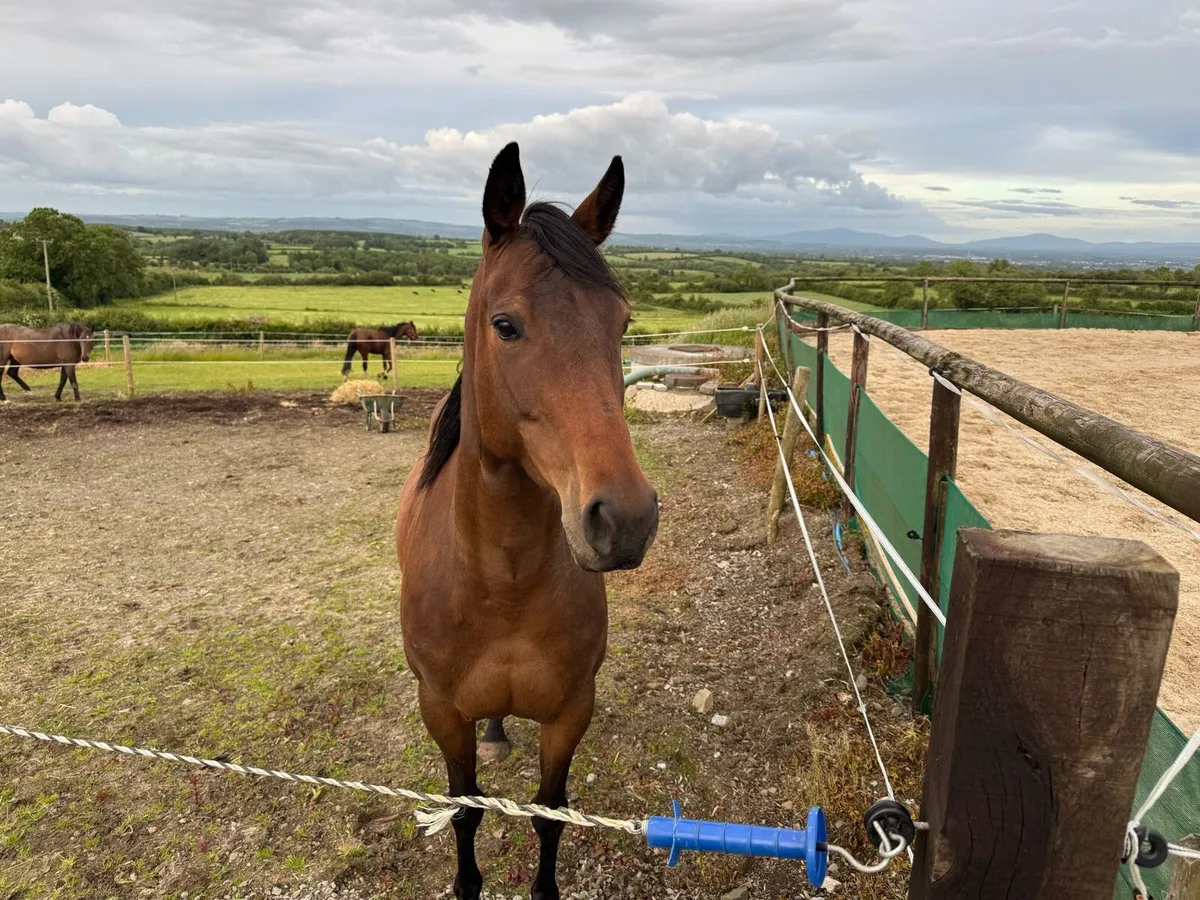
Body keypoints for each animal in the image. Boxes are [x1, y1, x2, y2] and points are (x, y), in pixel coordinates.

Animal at [395, 143, 658, 900]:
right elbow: (463, 811)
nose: (625, 517)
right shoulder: (441, 712)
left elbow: (550, 814)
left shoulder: (571, 711)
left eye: (622, 324)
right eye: (506, 325)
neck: (503, 582)